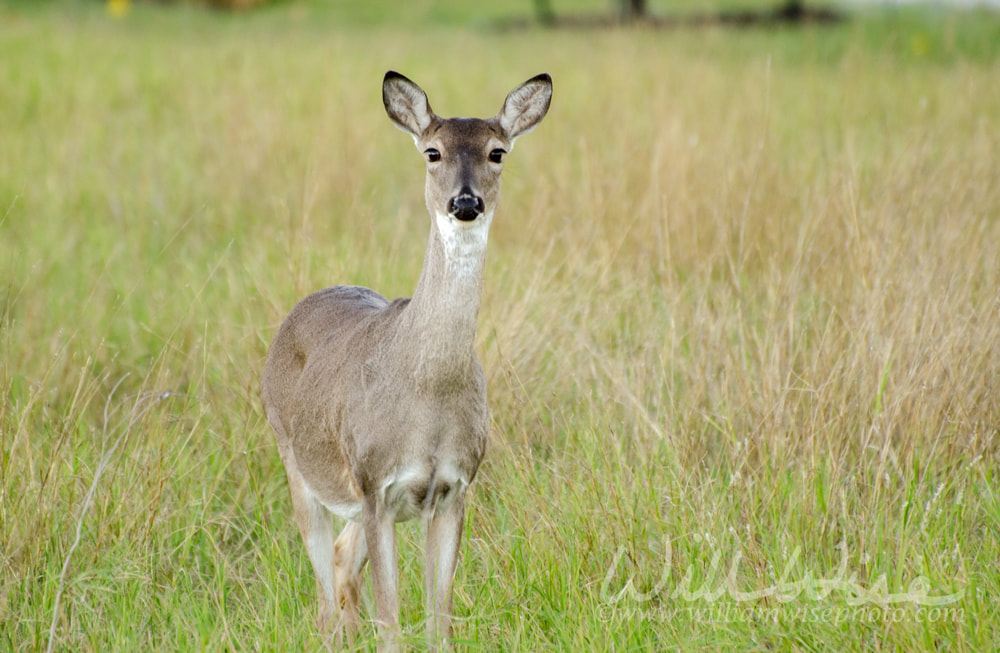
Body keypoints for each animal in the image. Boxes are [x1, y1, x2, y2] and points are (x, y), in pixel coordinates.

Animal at [262, 69, 552, 648]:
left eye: (497, 152)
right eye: (432, 152)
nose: (465, 203)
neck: (428, 392)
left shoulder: (455, 488)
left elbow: (439, 618)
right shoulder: (376, 485)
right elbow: (392, 618)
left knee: (341, 562)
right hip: (296, 458)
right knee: (323, 593)